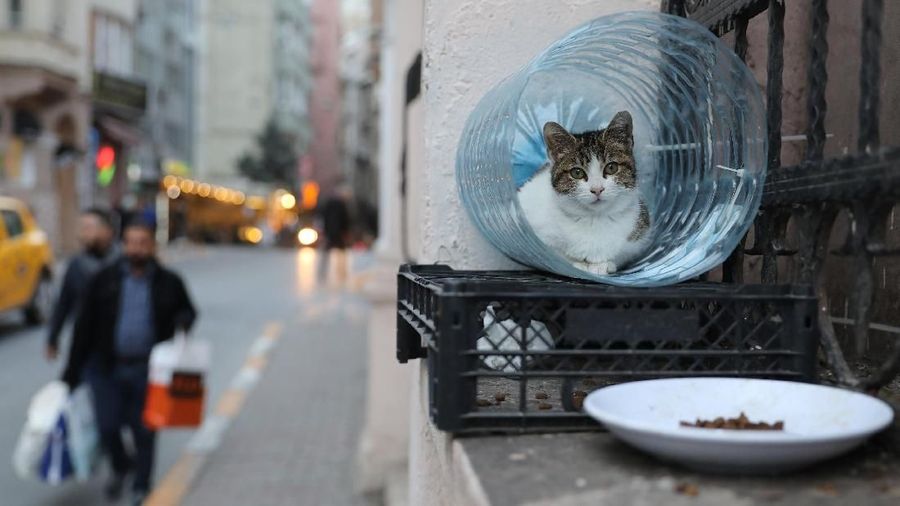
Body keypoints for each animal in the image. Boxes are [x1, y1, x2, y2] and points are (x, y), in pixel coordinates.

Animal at [516, 111, 652, 276]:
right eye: (577, 172)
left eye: (611, 167)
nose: (597, 189)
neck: (594, 219)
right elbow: (554, 254)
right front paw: (580, 265)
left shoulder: (639, 237)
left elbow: (620, 255)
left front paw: (602, 265)